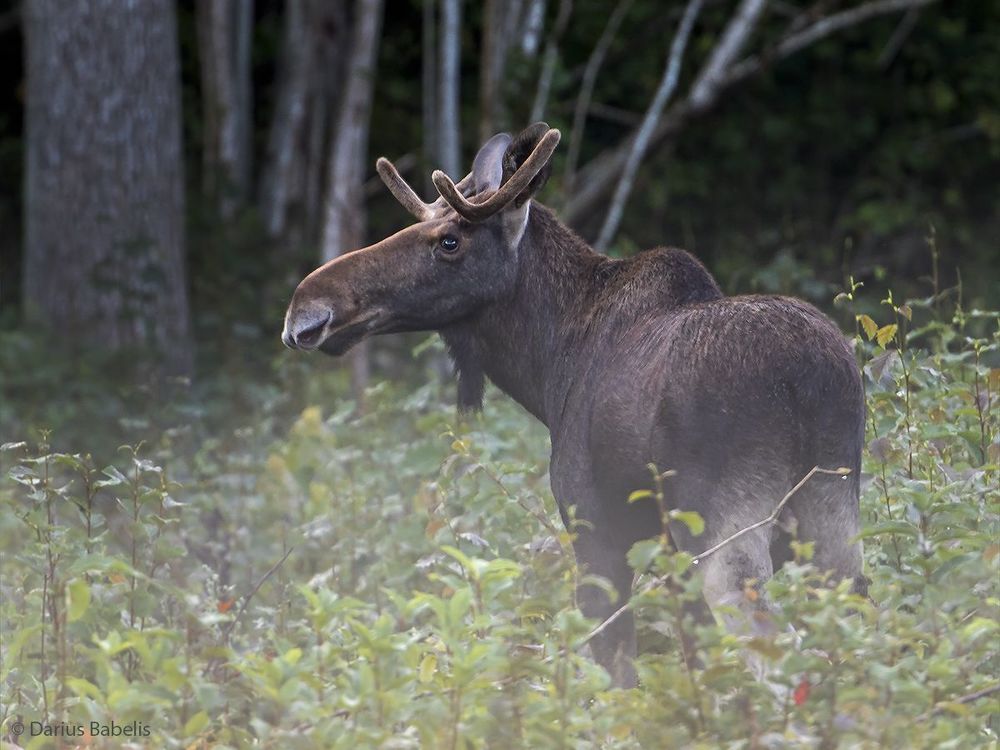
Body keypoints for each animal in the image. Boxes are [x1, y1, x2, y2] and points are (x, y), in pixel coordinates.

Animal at [282, 123, 867, 688]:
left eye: (449, 241)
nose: (307, 307)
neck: (549, 366)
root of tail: (806, 381)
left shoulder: (594, 529)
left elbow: (614, 672)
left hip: (726, 525)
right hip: (833, 516)